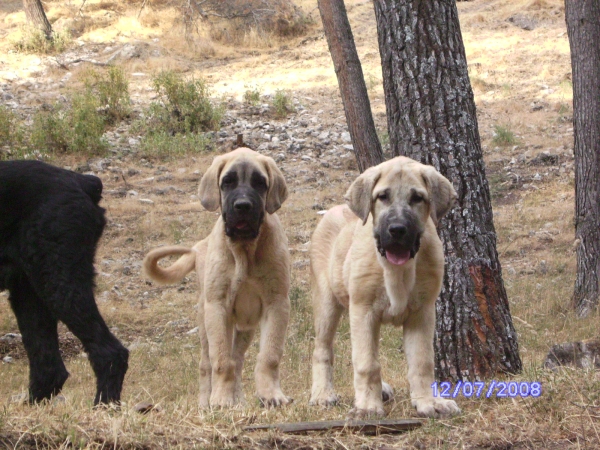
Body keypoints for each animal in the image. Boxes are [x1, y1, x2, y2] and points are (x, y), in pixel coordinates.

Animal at [0, 161, 126, 404]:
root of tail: (83, 182)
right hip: (28, 291)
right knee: (49, 368)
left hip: (58, 281)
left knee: (111, 353)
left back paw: (103, 405)